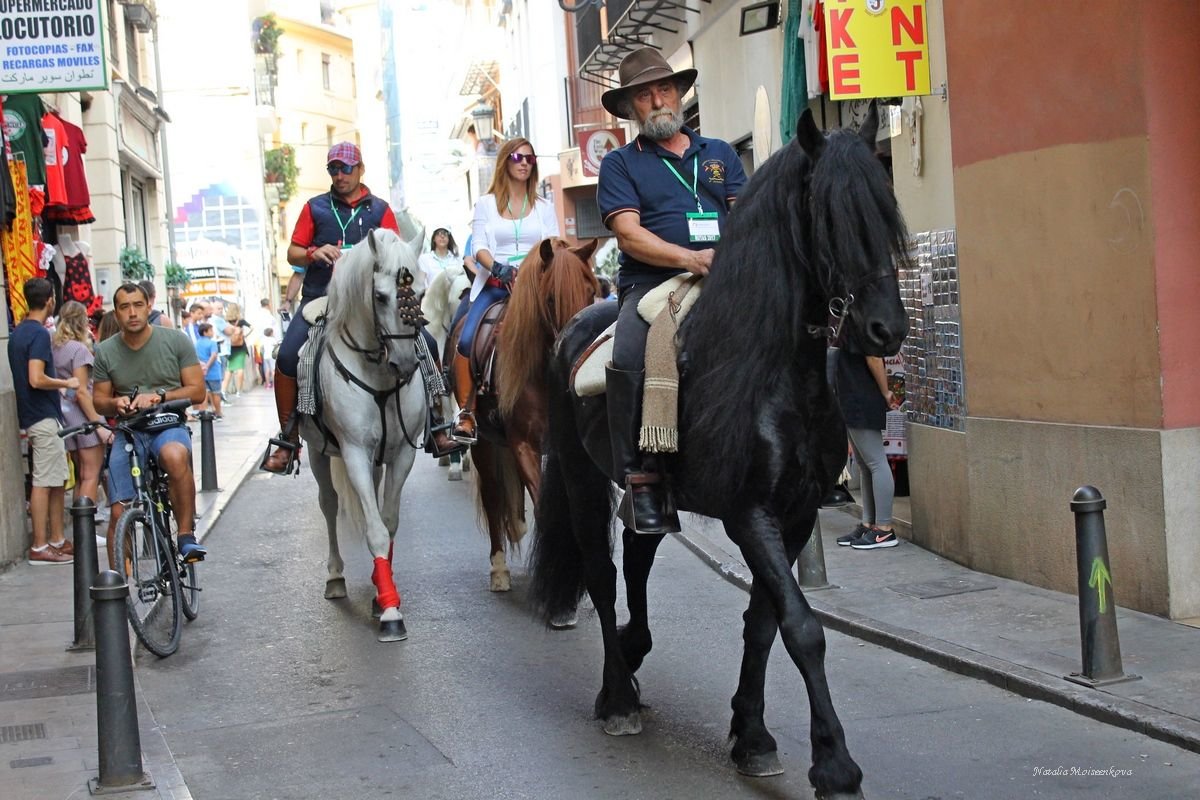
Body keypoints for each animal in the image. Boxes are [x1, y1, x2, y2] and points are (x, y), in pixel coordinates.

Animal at [297, 225, 429, 642]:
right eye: (381, 296)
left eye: (420, 293)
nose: (405, 364)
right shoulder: (353, 452)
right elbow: (374, 529)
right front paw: (390, 612)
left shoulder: (403, 453)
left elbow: (388, 523)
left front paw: (380, 592)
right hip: (318, 453)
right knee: (329, 504)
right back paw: (335, 577)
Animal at [446, 237, 600, 594]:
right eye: (551, 297)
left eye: (591, 291)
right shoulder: (524, 445)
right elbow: (542, 506)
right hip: (483, 442)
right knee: (492, 496)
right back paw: (499, 569)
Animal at [532, 106, 907, 800]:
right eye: (832, 217)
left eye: (886, 207)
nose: (885, 330)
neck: (773, 372)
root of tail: (575, 324)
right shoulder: (749, 514)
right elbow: (803, 628)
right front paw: (835, 766)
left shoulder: (796, 516)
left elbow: (765, 622)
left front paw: (752, 736)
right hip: (580, 477)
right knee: (602, 575)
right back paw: (617, 697)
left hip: (649, 496)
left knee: (639, 556)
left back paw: (634, 648)